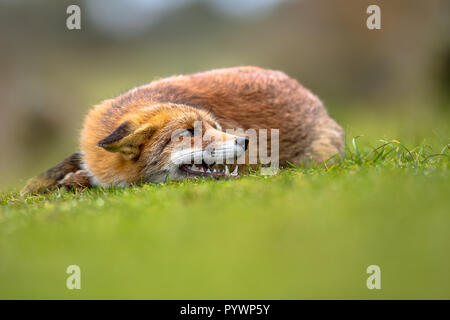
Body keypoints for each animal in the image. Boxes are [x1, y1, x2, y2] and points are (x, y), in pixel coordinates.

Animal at [21, 66, 344, 194]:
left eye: (215, 127)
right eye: (188, 132)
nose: (244, 141)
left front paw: (73, 183)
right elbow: (54, 171)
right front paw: (38, 187)